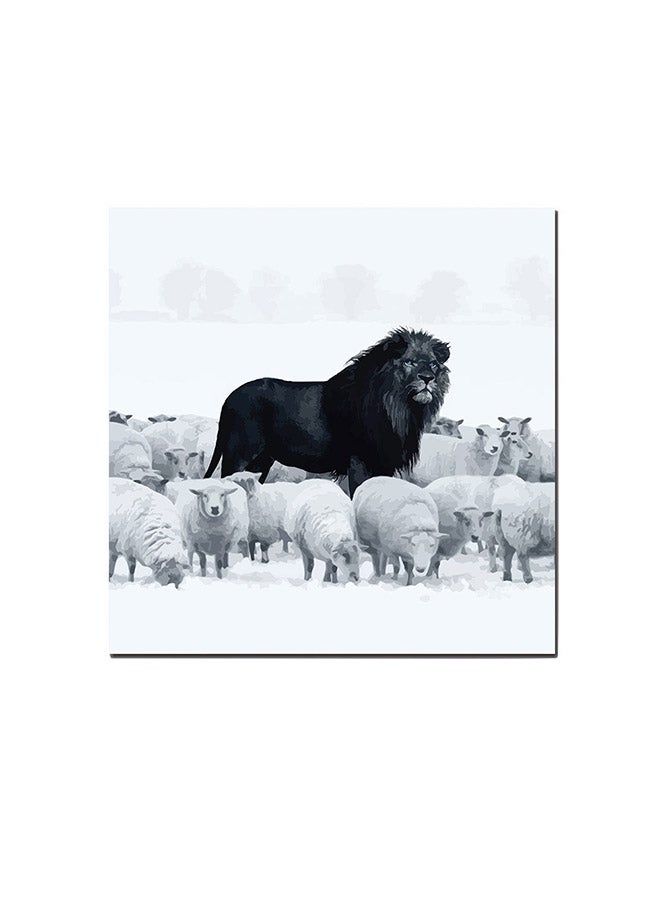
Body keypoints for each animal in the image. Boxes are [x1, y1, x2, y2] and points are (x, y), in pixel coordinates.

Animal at [204, 327, 451, 496]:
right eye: (409, 362)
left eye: (434, 364)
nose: (427, 378)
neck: (402, 409)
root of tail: (229, 398)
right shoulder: (359, 461)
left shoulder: (384, 465)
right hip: (238, 456)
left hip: (261, 463)